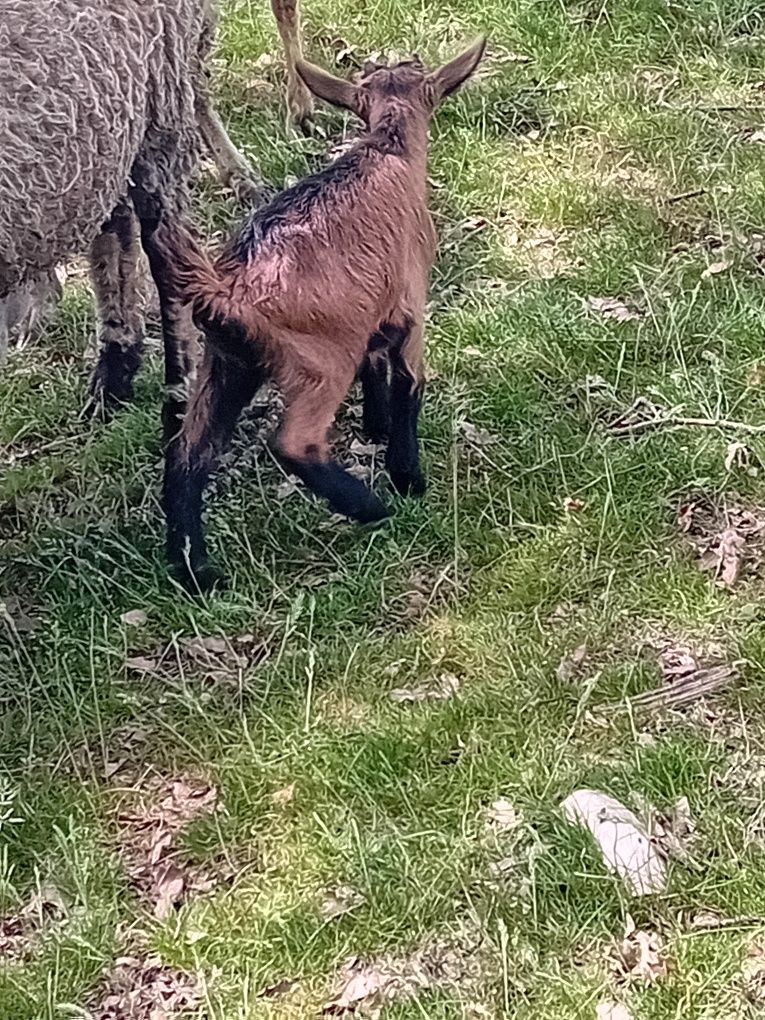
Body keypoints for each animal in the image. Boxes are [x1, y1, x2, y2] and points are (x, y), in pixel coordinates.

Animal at [159, 39, 487, 595]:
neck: (387, 148)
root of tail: (227, 289)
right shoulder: (410, 306)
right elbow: (410, 382)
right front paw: (408, 476)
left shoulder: (373, 311)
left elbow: (376, 368)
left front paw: (376, 427)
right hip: (320, 360)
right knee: (293, 443)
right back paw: (371, 507)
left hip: (227, 365)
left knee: (187, 454)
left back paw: (198, 572)